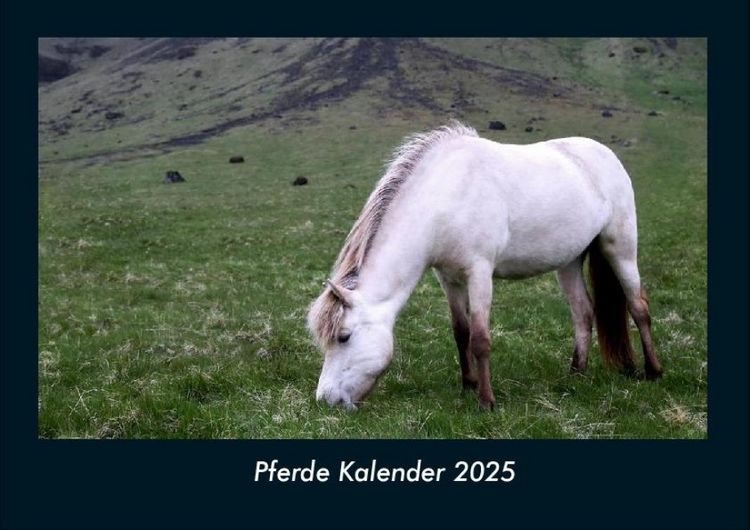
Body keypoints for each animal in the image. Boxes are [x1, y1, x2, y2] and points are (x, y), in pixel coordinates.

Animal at [307, 121, 662, 410]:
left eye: (344, 337)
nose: (326, 399)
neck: (445, 197)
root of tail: (604, 154)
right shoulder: (448, 278)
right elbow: (460, 332)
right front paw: (468, 385)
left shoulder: (479, 273)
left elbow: (480, 338)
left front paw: (486, 401)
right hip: (569, 262)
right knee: (583, 312)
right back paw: (576, 373)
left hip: (620, 248)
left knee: (638, 306)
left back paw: (653, 371)